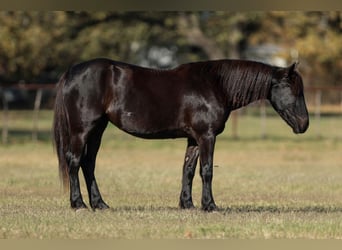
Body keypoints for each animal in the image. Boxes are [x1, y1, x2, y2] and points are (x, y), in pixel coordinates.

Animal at [53, 58, 310, 211]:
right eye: (294, 90)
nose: (304, 124)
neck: (215, 84)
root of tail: (71, 72)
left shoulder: (194, 138)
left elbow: (188, 170)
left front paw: (187, 204)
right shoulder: (207, 136)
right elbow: (206, 171)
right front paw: (210, 205)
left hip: (98, 130)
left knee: (88, 164)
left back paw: (100, 204)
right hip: (82, 130)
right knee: (74, 162)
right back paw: (78, 204)